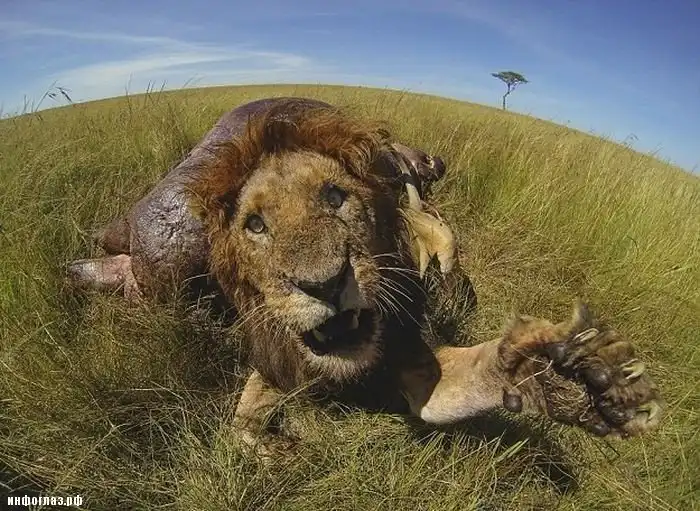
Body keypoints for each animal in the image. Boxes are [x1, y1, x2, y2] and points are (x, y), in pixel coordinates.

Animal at [67, 98, 664, 456]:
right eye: (256, 225)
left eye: (336, 198)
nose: (324, 284)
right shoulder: (275, 356)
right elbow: (240, 423)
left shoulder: (413, 360)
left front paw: (568, 379)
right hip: (175, 250)